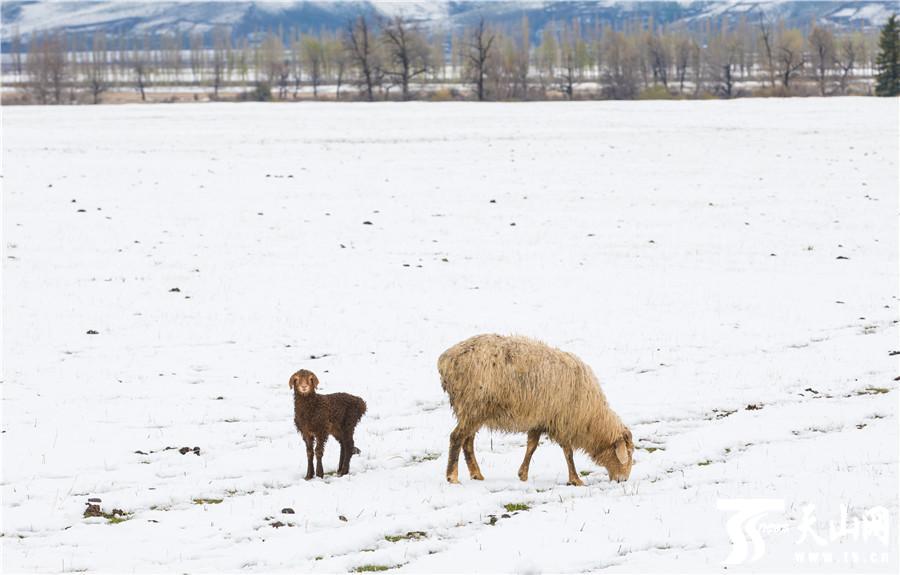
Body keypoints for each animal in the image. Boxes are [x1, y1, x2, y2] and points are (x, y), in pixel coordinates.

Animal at [436, 332, 632, 486]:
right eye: (628, 453)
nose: (623, 480)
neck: (591, 417)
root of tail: (445, 360)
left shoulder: (541, 419)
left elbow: (532, 446)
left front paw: (523, 474)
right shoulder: (562, 421)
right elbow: (568, 452)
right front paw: (576, 479)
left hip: (472, 412)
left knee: (467, 442)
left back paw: (477, 474)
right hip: (473, 408)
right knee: (456, 438)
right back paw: (452, 477)